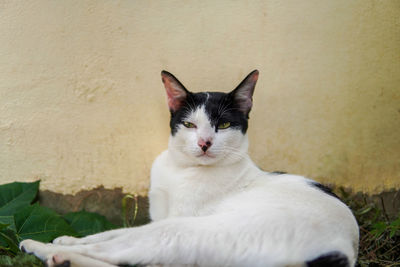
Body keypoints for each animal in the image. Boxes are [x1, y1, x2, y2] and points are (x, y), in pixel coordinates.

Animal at [19, 70, 360, 266]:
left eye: (224, 125)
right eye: (189, 124)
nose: (205, 143)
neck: (180, 168)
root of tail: (343, 250)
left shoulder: (171, 220)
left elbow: (114, 237)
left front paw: (59, 244)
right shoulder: (158, 217)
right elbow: (111, 231)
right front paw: (67, 238)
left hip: (186, 231)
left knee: (119, 254)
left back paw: (44, 250)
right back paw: (59, 252)